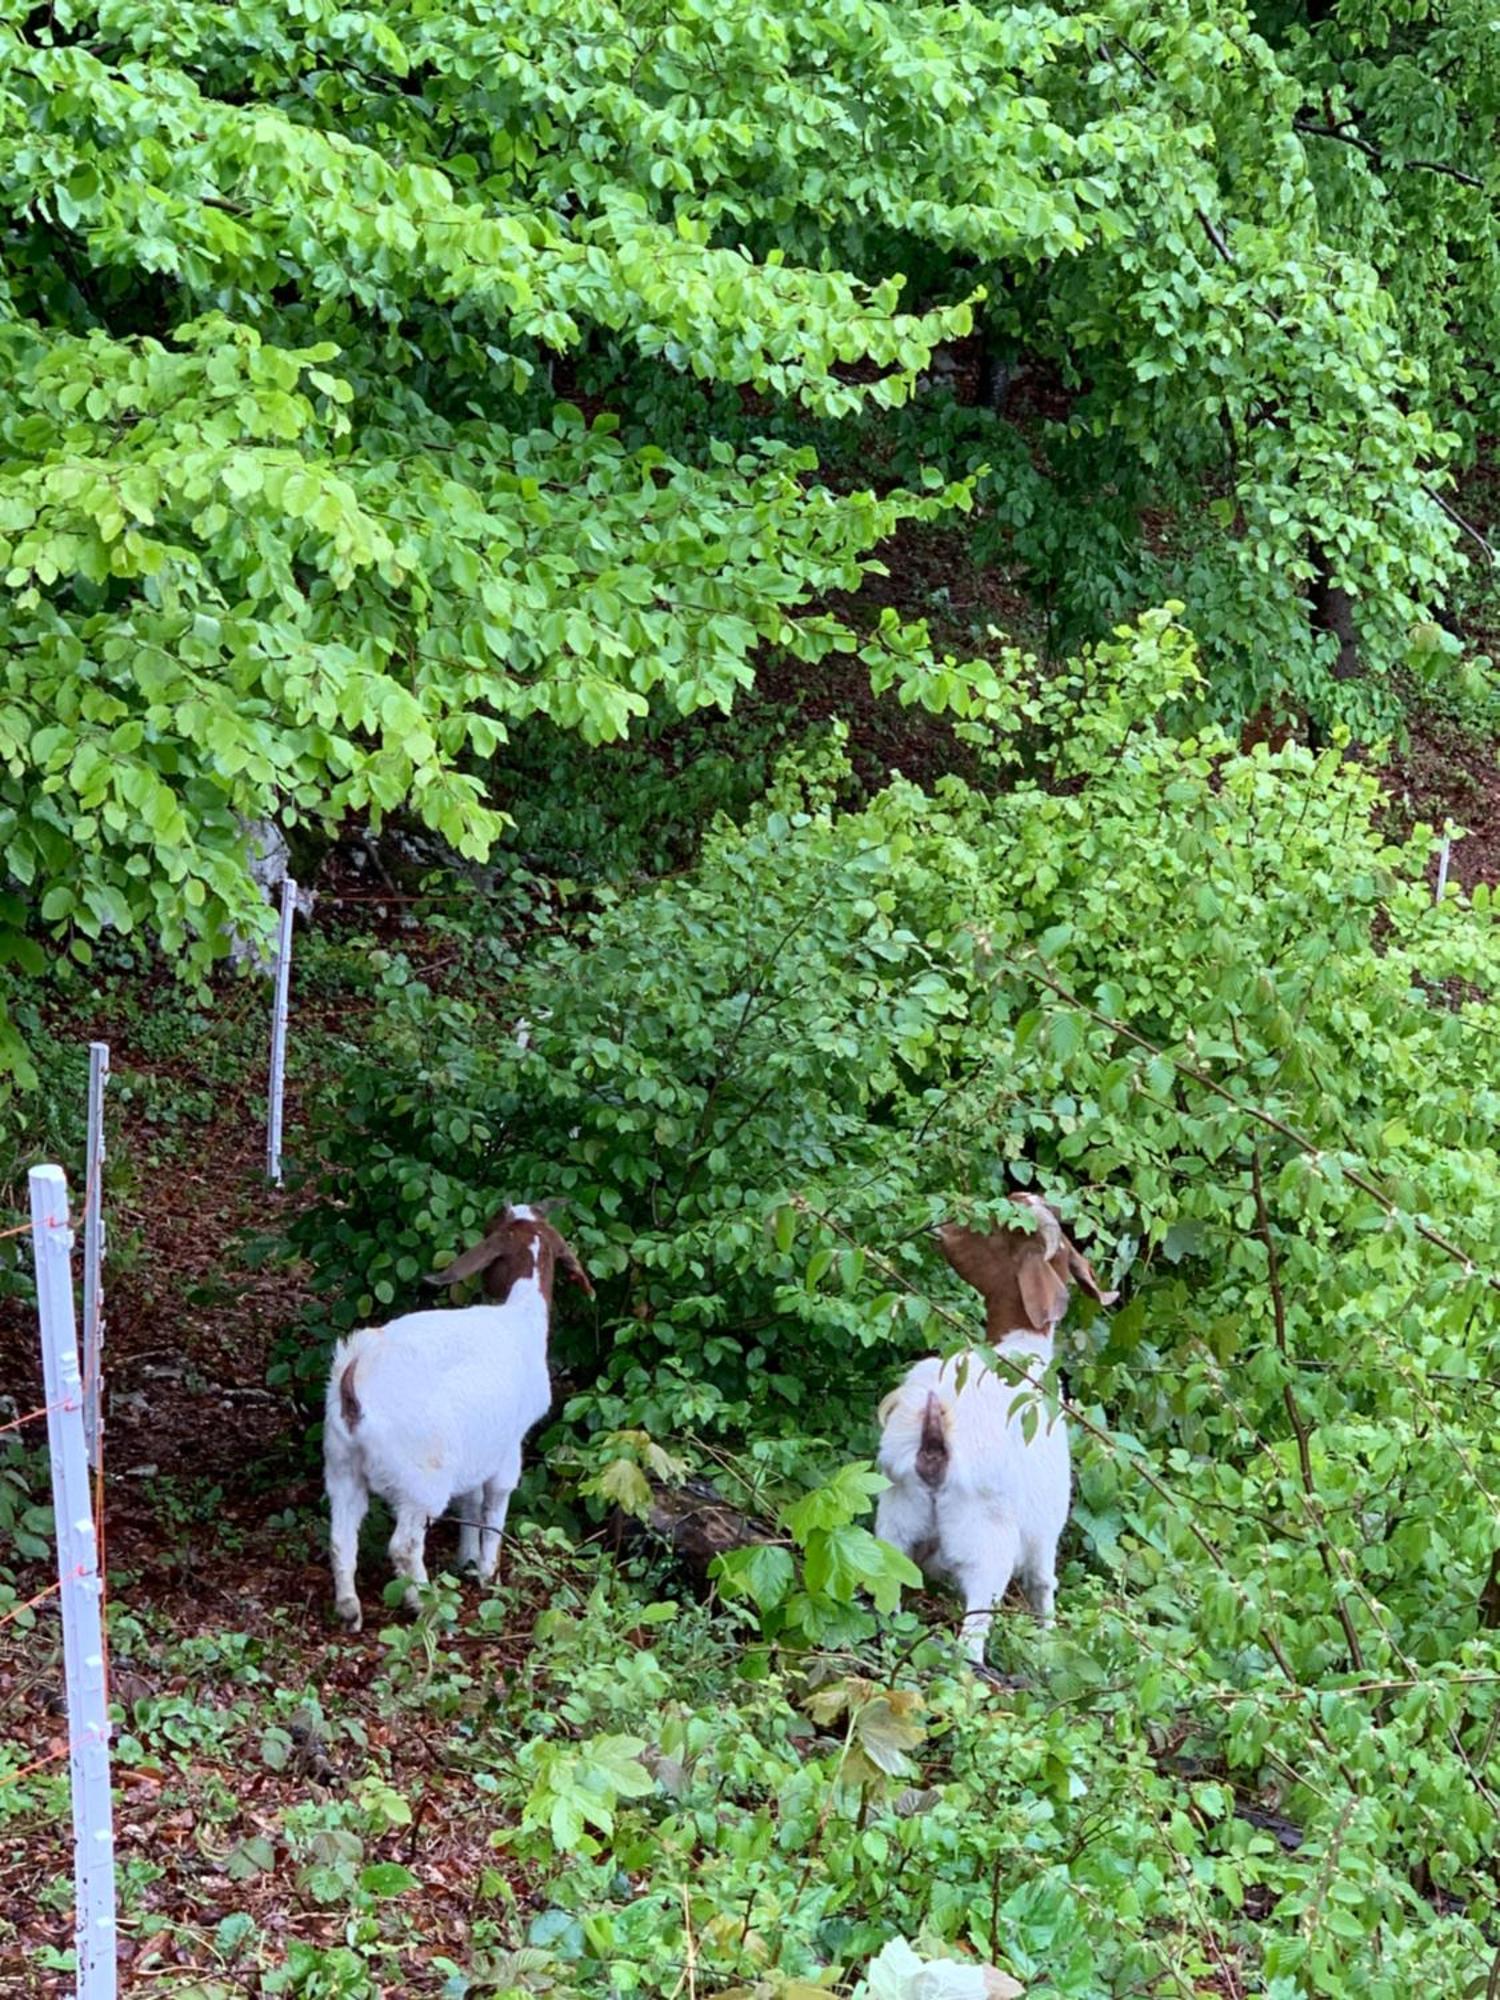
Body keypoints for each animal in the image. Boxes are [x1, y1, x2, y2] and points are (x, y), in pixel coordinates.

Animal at [324, 1200, 592, 1624]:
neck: (520, 1316)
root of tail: (355, 1374)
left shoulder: (477, 1446)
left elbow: (470, 1499)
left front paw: (465, 1559)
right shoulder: (508, 1445)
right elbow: (495, 1501)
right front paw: (486, 1571)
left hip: (341, 1464)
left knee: (341, 1535)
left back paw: (350, 1608)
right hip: (420, 1479)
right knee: (404, 1545)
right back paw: (425, 1605)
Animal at [876, 1192, 1112, 1664]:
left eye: (998, 1231)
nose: (942, 1226)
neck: (1020, 1350)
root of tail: (934, 1442)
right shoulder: (1046, 1530)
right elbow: (1044, 1586)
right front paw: (1048, 1643)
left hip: (895, 1522)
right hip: (986, 1549)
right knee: (972, 1636)